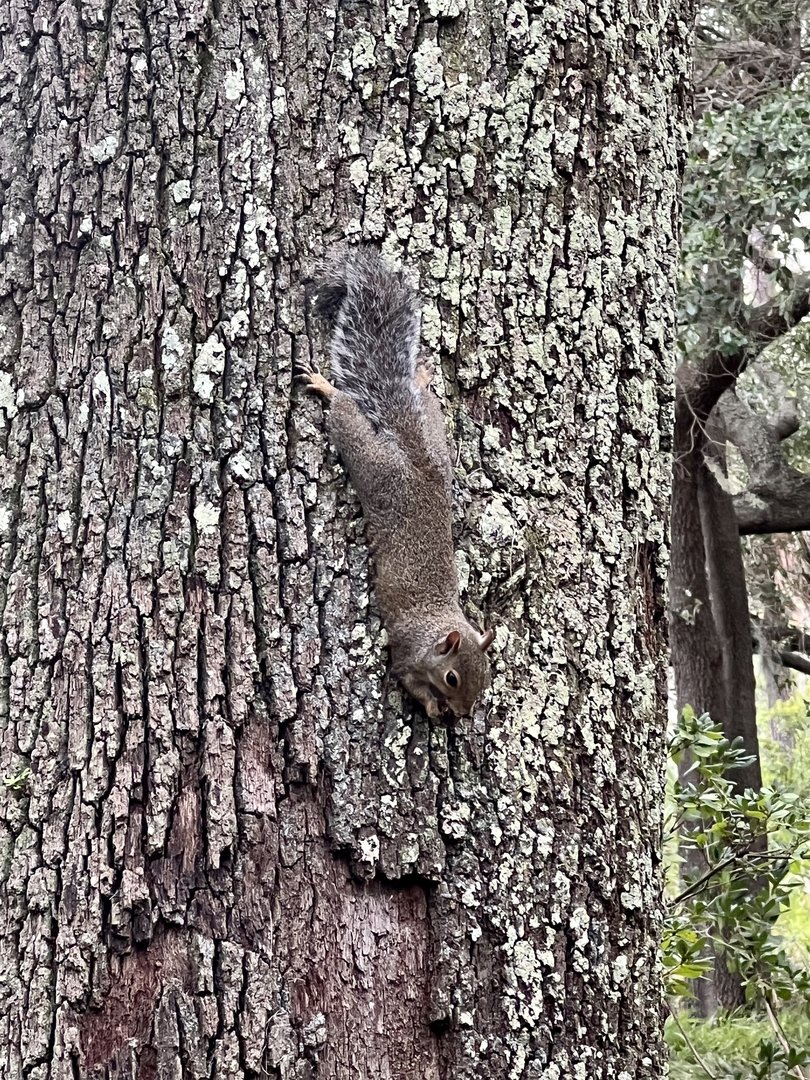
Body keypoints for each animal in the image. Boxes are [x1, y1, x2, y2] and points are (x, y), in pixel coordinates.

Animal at [299, 247, 494, 718]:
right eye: (452, 678)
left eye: (485, 680)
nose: (463, 713)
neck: (437, 626)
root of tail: (413, 453)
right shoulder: (405, 653)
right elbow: (408, 681)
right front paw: (432, 708)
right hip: (373, 463)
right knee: (344, 412)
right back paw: (326, 386)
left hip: (436, 435)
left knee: (421, 400)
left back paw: (419, 381)